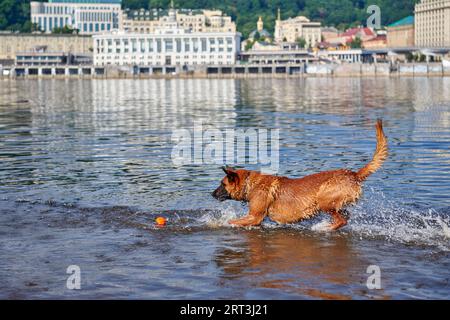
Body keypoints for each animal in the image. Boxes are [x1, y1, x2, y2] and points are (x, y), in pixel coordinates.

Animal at [213, 120, 388, 230]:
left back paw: (324, 228)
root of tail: (353, 174)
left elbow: (232, 221)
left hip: (324, 200)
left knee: (341, 221)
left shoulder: (254, 217)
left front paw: (218, 223)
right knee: (345, 216)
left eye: (222, 184)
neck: (251, 183)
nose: (211, 194)